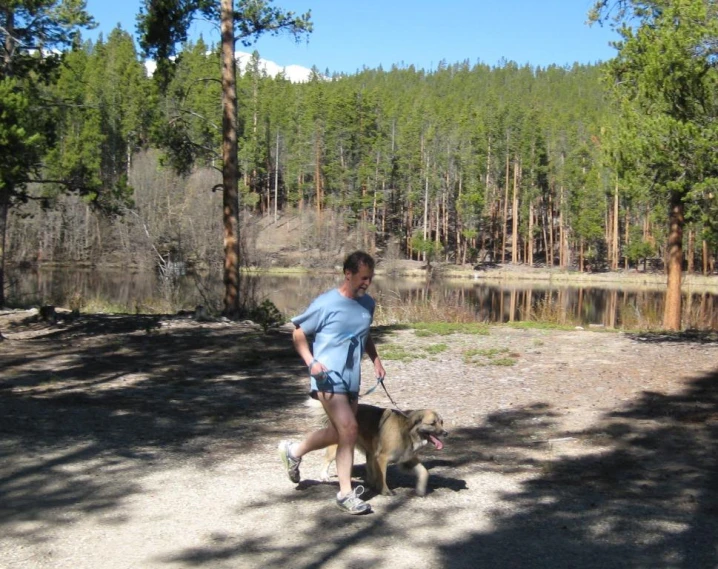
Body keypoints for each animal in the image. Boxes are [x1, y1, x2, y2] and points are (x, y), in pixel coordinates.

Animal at [320, 402, 448, 494]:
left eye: (442, 422)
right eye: (432, 423)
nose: (446, 433)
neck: (407, 431)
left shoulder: (408, 458)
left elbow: (424, 472)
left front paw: (421, 489)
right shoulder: (382, 458)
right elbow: (383, 476)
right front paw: (385, 491)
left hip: (370, 452)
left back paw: (371, 483)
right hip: (339, 446)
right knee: (326, 459)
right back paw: (324, 476)